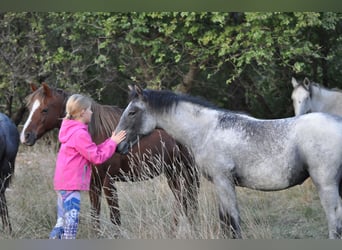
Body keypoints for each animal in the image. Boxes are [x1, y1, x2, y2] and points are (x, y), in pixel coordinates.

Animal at [20, 83, 199, 234]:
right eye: (29, 107)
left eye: (44, 109)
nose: (25, 136)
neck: (97, 133)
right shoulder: (94, 183)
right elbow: (95, 215)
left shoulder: (108, 181)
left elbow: (115, 218)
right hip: (173, 173)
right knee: (183, 202)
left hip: (185, 172)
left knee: (188, 203)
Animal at [115, 85, 342, 238]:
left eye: (132, 112)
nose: (118, 145)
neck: (207, 130)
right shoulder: (221, 184)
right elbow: (226, 221)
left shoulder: (223, 181)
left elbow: (231, 223)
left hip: (327, 185)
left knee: (334, 222)